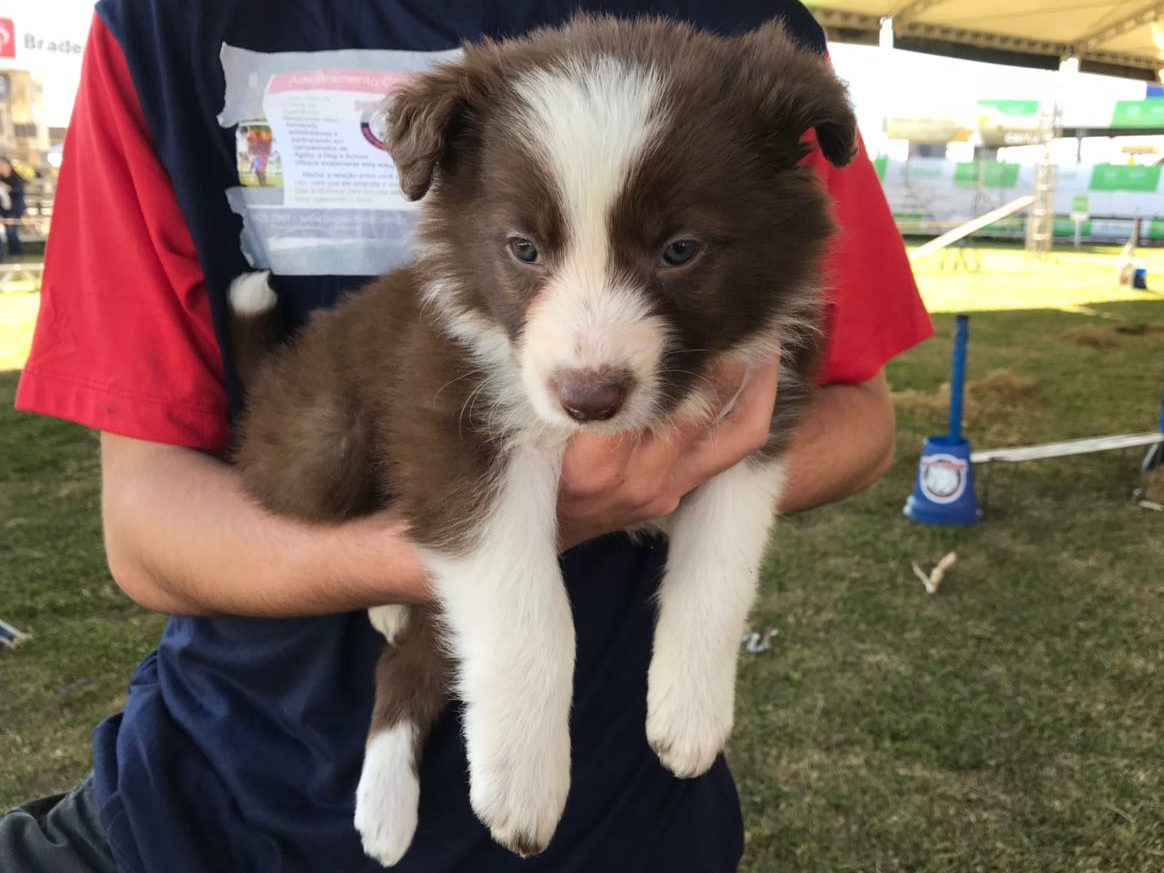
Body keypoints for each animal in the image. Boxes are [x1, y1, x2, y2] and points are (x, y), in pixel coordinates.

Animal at [229, 13, 856, 870]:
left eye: (681, 249)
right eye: (523, 248)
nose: (588, 398)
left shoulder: (761, 406)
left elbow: (721, 568)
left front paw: (689, 712)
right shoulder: (452, 420)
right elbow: (529, 615)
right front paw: (523, 786)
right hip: (322, 442)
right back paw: (387, 802)